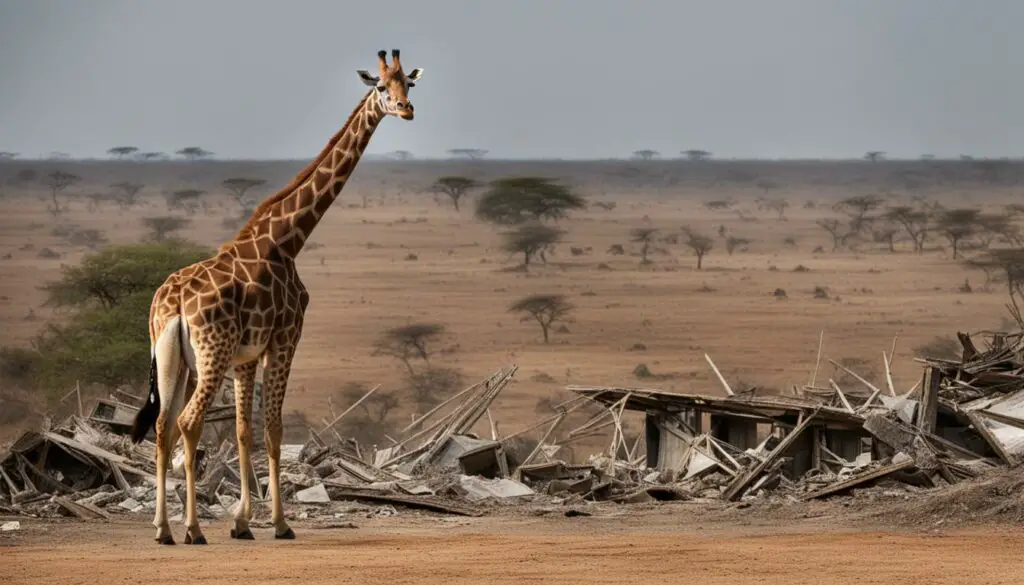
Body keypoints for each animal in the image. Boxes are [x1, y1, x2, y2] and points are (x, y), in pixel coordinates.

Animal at [129, 49, 423, 545]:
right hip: (210, 352)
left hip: (173, 360)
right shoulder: (284, 340)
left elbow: (243, 431)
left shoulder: (246, 355)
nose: (407, 111)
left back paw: (163, 529)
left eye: (410, 84)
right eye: (383, 88)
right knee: (188, 422)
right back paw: (192, 529)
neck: (287, 239)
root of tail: (170, 305)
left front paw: (243, 522)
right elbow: (273, 430)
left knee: (165, 427)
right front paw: (281, 523)